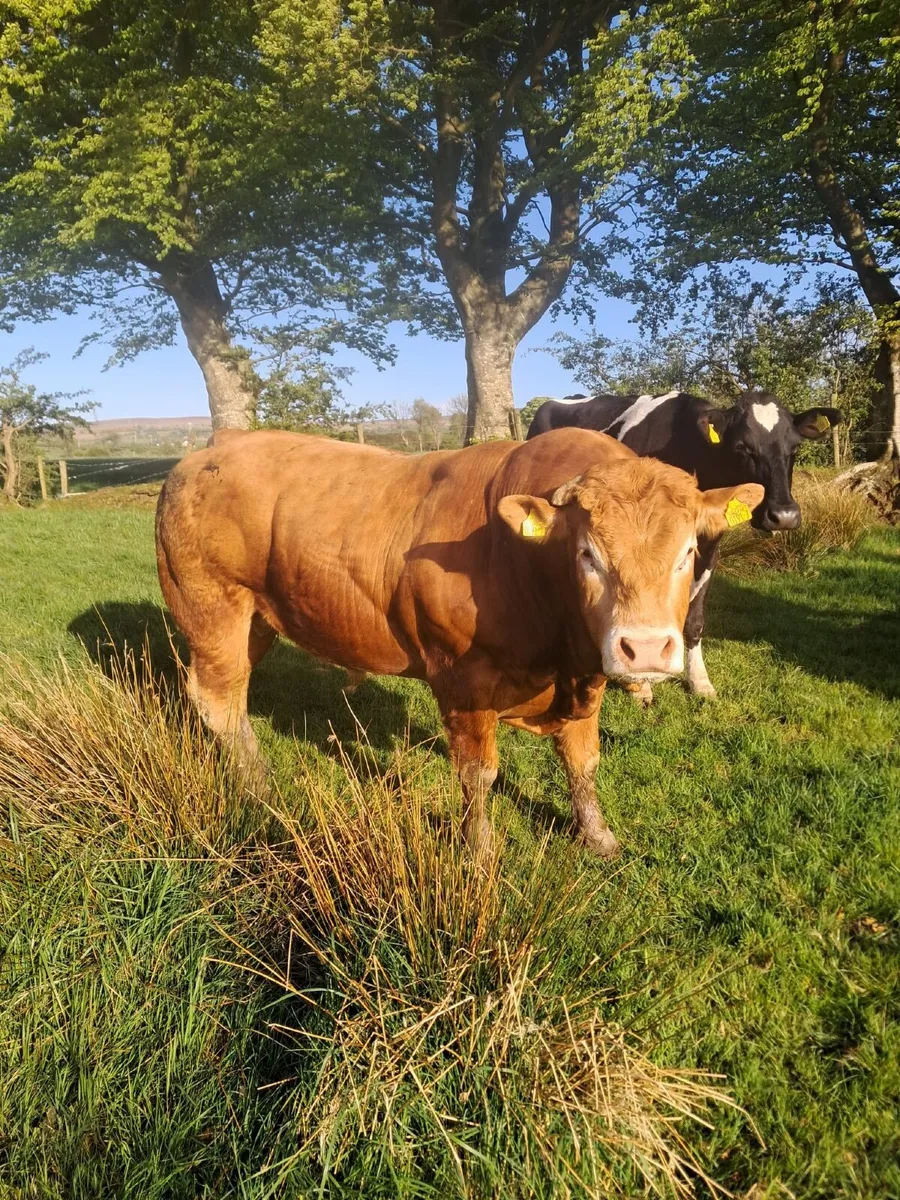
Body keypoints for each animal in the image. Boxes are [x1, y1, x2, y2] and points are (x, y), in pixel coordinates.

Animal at [155, 428, 763, 858]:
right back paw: (257, 786)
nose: (646, 648)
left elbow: (583, 762)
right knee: (217, 700)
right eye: (588, 553)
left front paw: (597, 837)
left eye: (688, 552)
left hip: (256, 619)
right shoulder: (462, 679)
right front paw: (479, 848)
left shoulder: (584, 674)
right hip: (211, 608)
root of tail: (208, 452)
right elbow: (479, 773)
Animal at [526, 390, 841, 700]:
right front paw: (641, 683)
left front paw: (699, 680)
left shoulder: (709, 547)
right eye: (742, 447)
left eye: (795, 447)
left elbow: (695, 619)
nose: (784, 515)